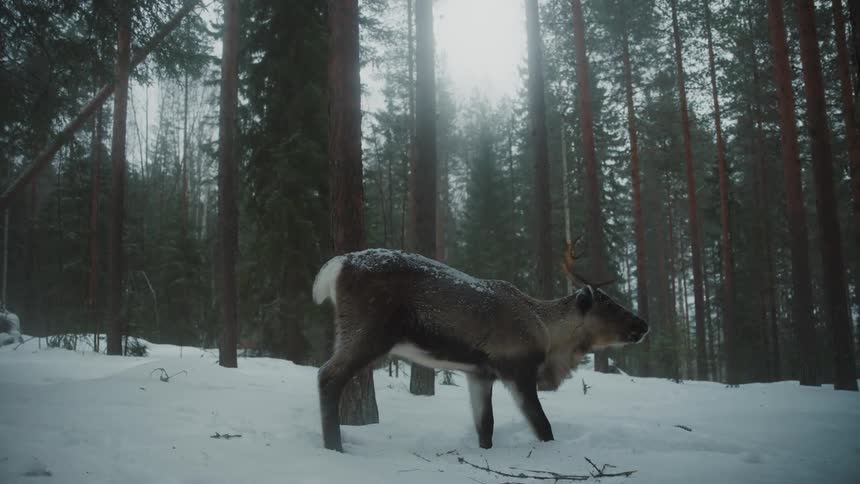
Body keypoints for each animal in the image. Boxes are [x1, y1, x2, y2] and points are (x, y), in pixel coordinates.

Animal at [312, 241, 649, 452]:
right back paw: (335, 448)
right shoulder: (517, 369)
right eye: (608, 304)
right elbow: (542, 425)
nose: (643, 325)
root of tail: (335, 266)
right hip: (368, 331)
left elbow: (485, 426)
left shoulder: (479, 373)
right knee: (328, 376)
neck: (549, 336)